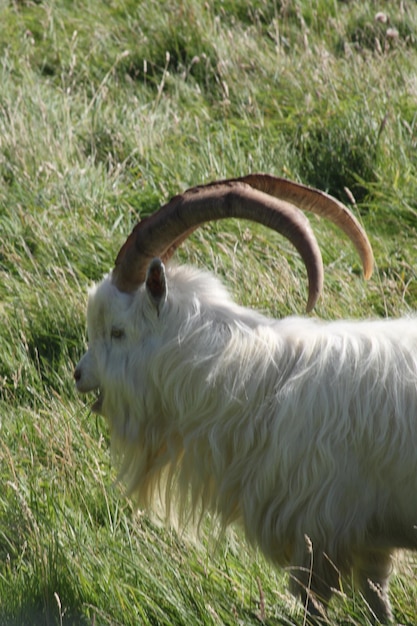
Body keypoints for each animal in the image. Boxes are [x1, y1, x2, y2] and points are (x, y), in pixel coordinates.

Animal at [73, 173, 414, 620]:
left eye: (117, 331)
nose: (78, 375)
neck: (260, 385)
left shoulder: (320, 540)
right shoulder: (369, 543)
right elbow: (378, 604)